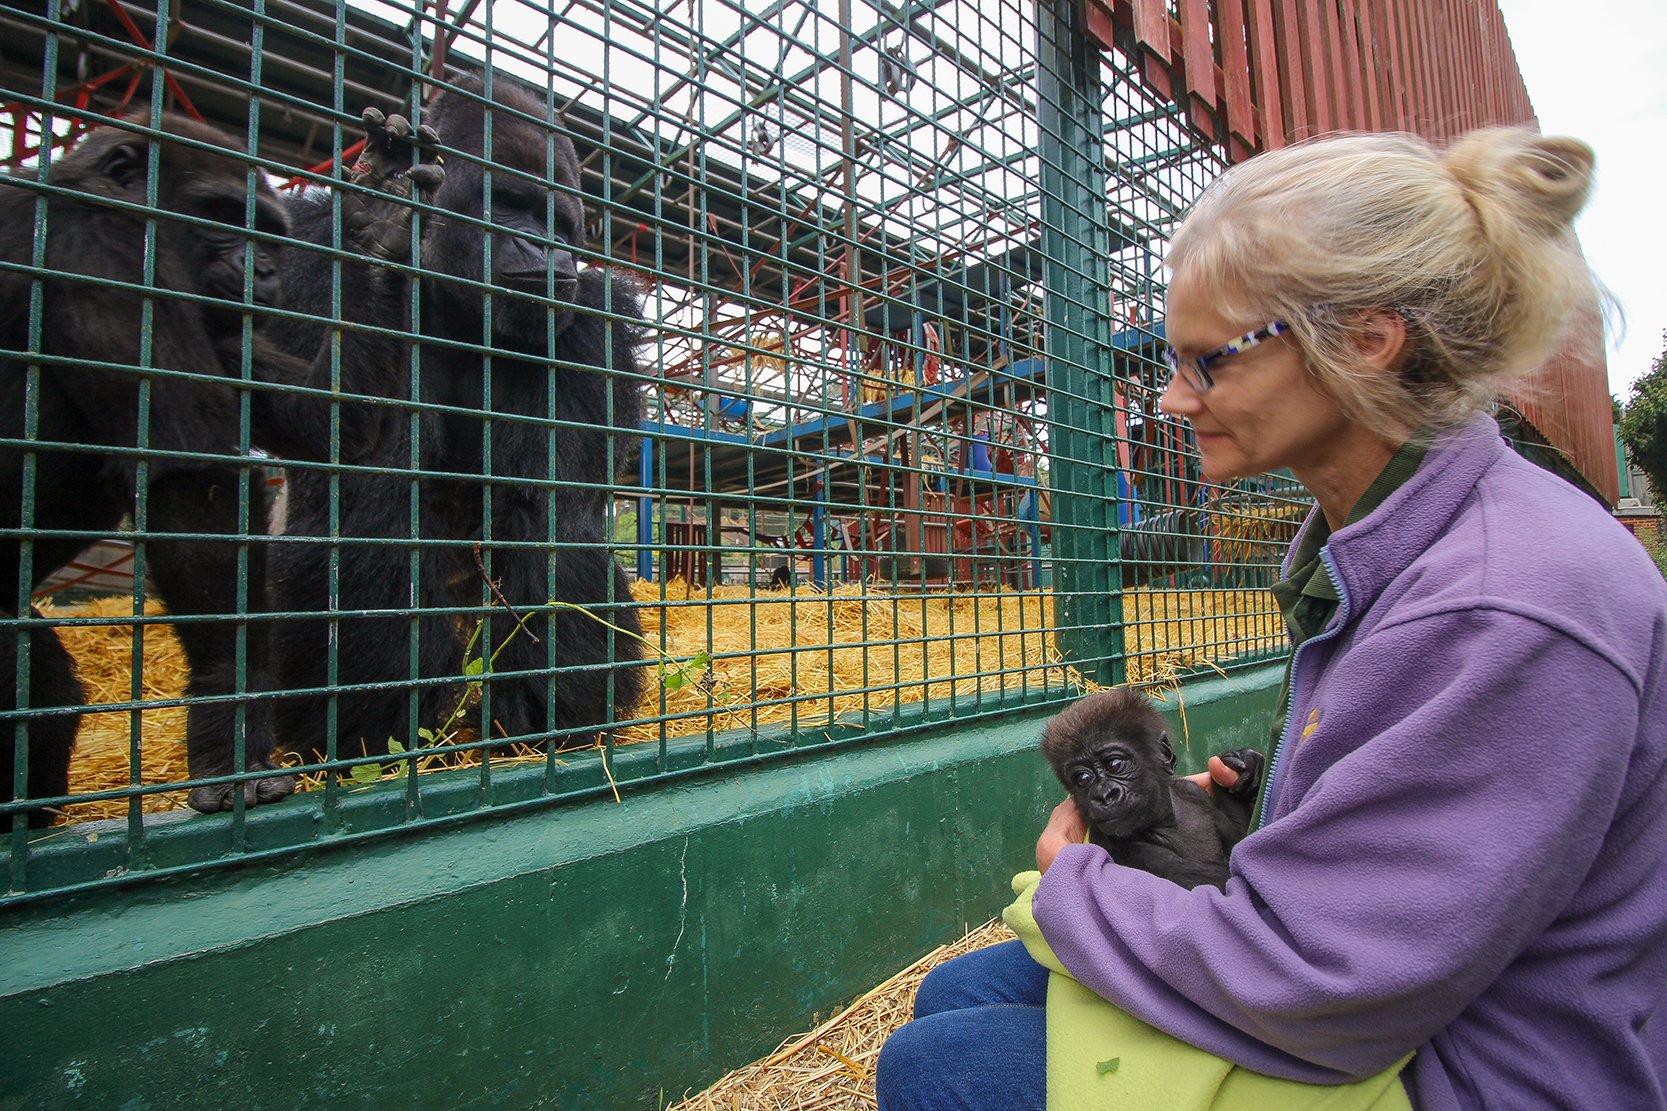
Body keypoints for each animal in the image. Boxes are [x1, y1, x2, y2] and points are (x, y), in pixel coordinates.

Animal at [266, 71, 643, 760]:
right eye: (509, 203)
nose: (545, 246)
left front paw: (550, 705)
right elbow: (342, 454)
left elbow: (550, 508)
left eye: (556, 220)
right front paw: (374, 241)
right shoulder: (305, 251)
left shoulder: (594, 322)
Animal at [1040, 687, 1260, 887]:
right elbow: (1222, 880)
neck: (1166, 819)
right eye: (1083, 779)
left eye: (1114, 764)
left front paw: (1245, 763)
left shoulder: (1193, 791)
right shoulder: (1120, 848)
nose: (1103, 795)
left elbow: (1240, 837)